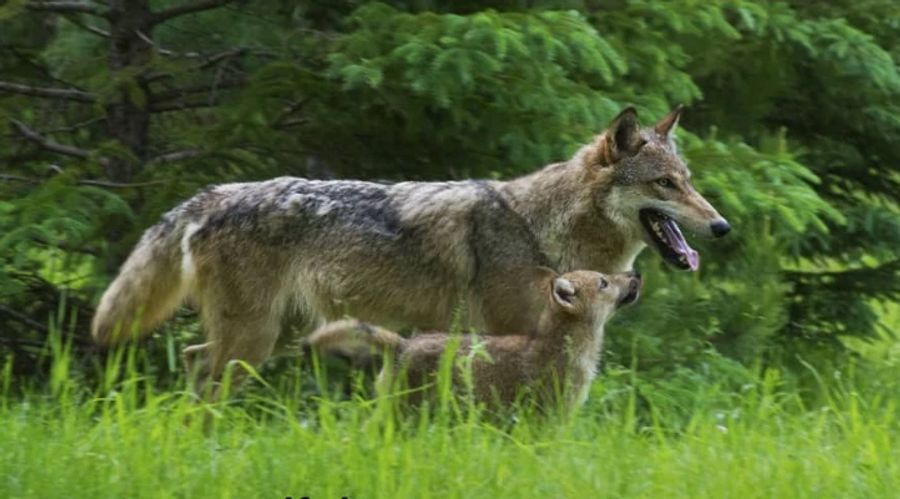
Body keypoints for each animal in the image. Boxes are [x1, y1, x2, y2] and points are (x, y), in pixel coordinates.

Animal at [89, 107, 724, 392]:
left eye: (688, 181)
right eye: (665, 184)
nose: (721, 226)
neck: (543, 229)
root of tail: (212, 194)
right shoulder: (515, 339)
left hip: (272, 336)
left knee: (192, 358)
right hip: (253, 341)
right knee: (204, 372)